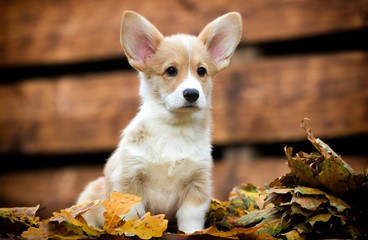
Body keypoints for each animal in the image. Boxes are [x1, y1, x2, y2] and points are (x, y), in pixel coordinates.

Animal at [78, 10, 242, 233]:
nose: (192, 94)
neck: (175, 129)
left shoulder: (197, 183)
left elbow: (190, 218)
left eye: (201, 71)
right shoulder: (130, 179)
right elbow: (133, 215)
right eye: (171, 70)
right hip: (90, 191)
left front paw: (190, 233)